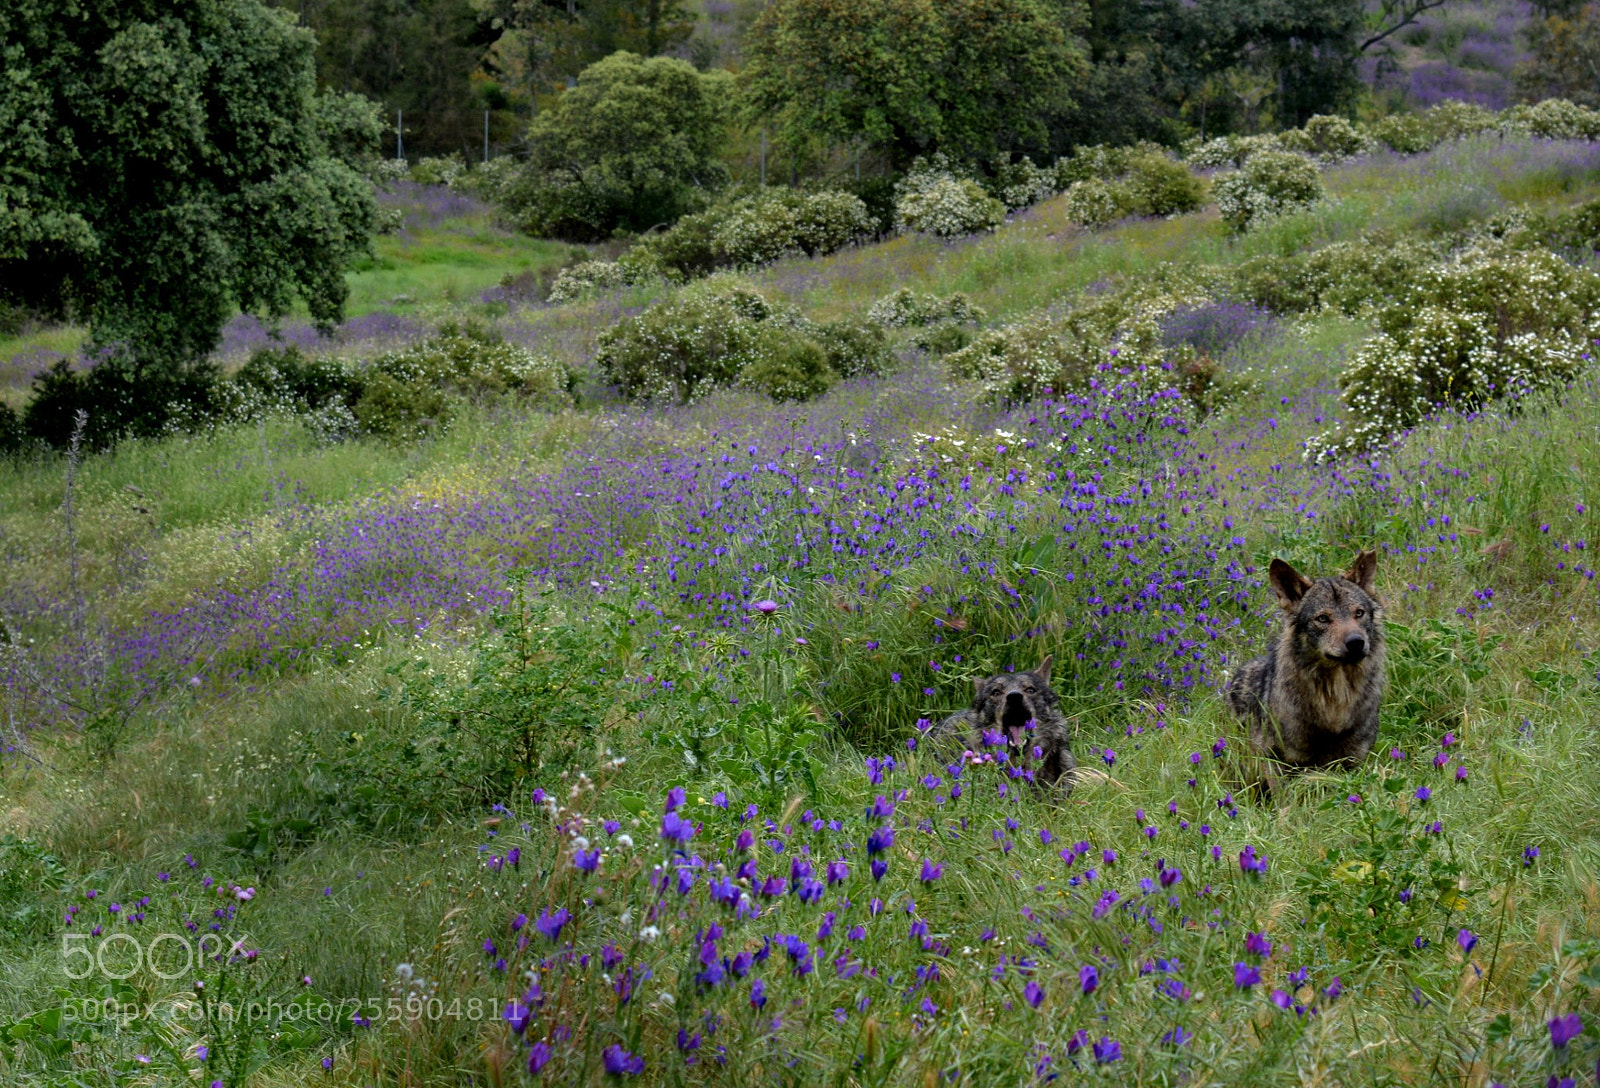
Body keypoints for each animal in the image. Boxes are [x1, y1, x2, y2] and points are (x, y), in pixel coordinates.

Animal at [1226, 550, 1386, 792]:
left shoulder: (1352, 763)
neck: (1334, 704)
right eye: (1322, 618)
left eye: (1359, 613)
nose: (1356, 643)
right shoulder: (1275, 762)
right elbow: (1286, 801)